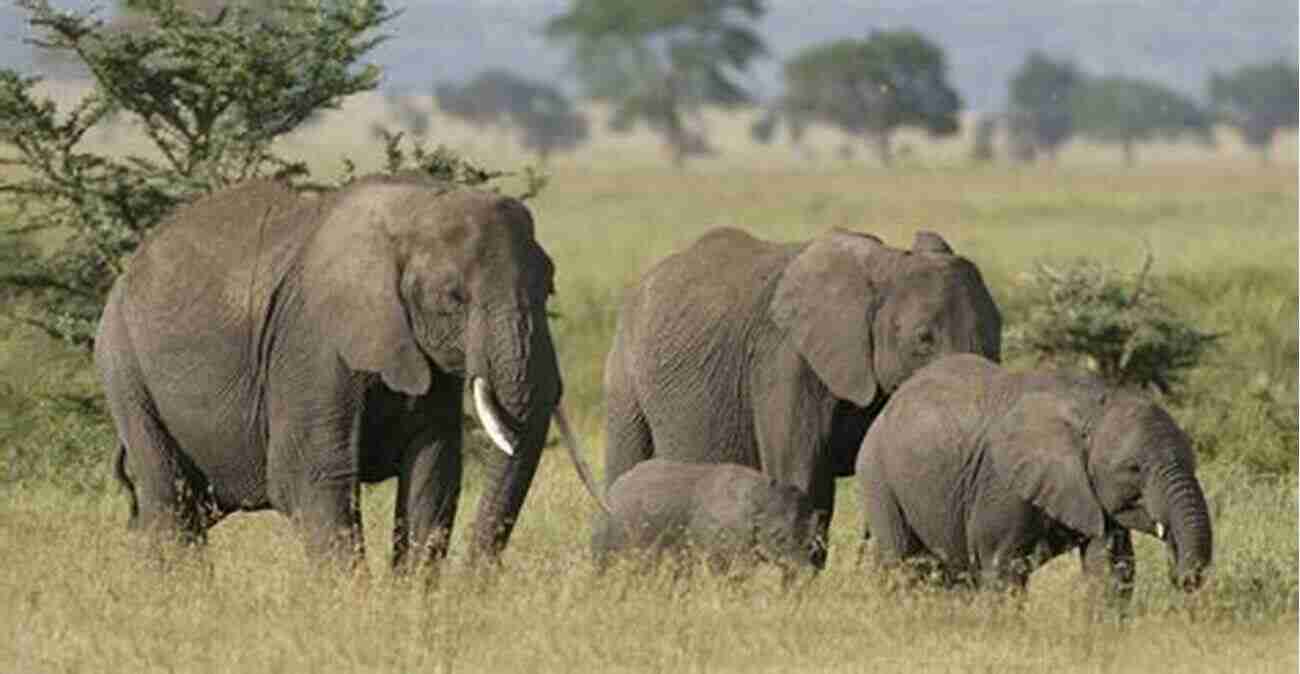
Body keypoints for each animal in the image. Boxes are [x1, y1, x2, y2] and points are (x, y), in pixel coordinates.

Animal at [94, 175, 595, 575]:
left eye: (549, 286)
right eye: (452, 298)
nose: (471, 585)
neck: (416, 206)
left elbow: (433, 473)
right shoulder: (311, 344)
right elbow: (312, 478)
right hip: (124, 366)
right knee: (170, 500)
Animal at [603, 227, 998, 564]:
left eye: (996, 333)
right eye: (923, 339)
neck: (885, 264)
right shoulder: (785, 357)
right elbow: (801, 474)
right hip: (623, 372)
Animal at [857, 353, 1211, 598]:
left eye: (1193, 461)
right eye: (1134, 468)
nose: (1181, 577)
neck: (1093, 409)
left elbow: (1112, 568)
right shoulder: (1002, 483)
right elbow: (1003, 570)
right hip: (878, 475)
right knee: (901, 559)